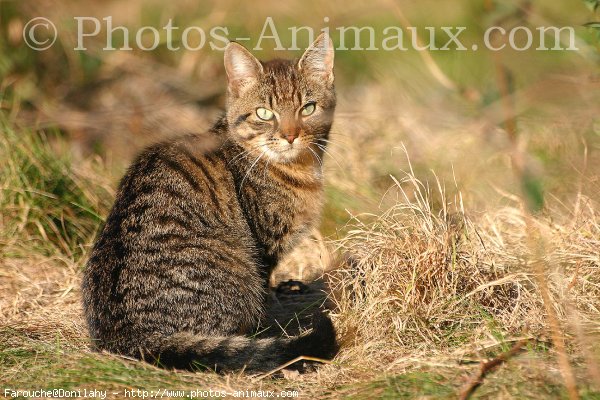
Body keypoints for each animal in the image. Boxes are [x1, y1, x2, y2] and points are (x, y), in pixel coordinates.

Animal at [82, 33, 340, 372]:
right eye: (264, 113)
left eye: (307, 108)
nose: (290, 135)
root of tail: (127, 336)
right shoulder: (265, 246)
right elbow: (266, 291)